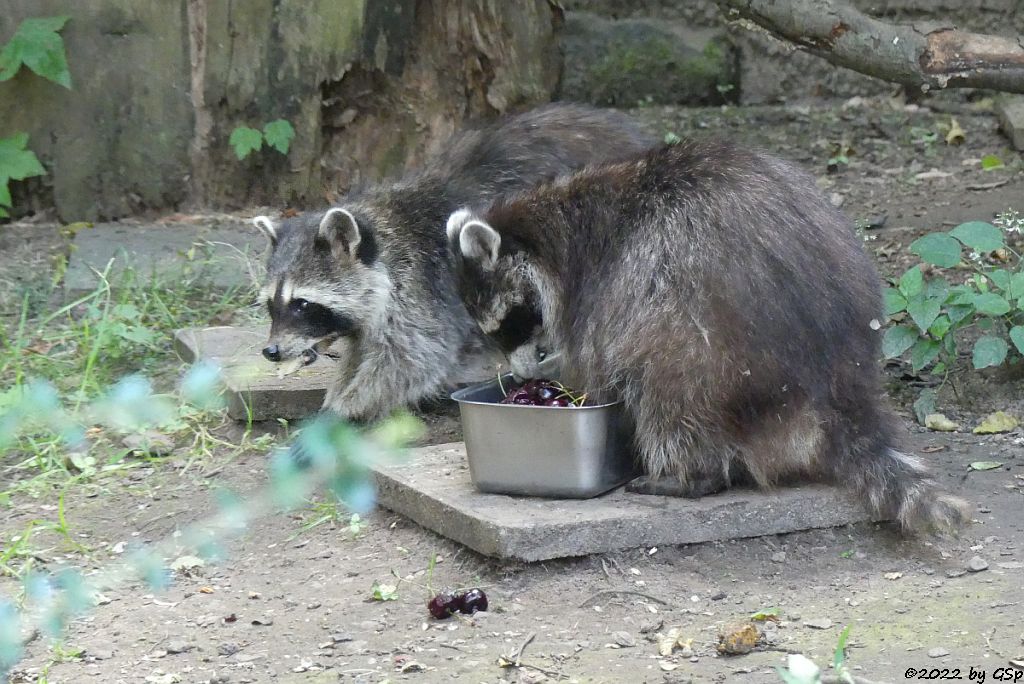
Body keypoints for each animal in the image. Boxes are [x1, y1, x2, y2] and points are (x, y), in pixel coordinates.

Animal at [251, 103, 651, 419]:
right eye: (272, 304)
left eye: (302, 304)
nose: (271, 351)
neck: (380, 237)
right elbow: (363, 351)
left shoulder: (420, 290)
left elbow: (411, 360)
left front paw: (341, 411)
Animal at [446, 139, 966, 532]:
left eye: (507, 324)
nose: (518, 375)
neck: (547, 227)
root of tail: (835, 383)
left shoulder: (596, 282)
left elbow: (596, 356)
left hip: (710, 341)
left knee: (669, 387)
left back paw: (689, 473)